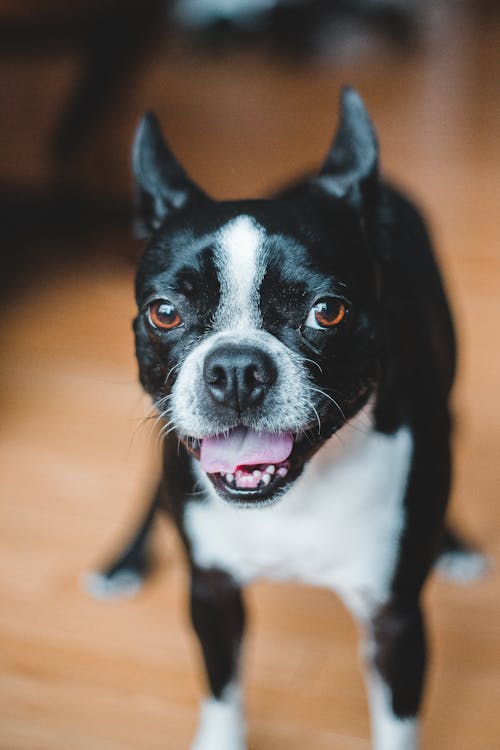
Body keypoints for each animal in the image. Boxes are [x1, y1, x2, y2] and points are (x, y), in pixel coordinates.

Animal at [86, 89, 484, 750]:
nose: (236, 368)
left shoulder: (395, 619)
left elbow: (396, 722)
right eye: (164, 312)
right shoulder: (211, 594)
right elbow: (222, 693)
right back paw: (124, 561)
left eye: (328, 311)